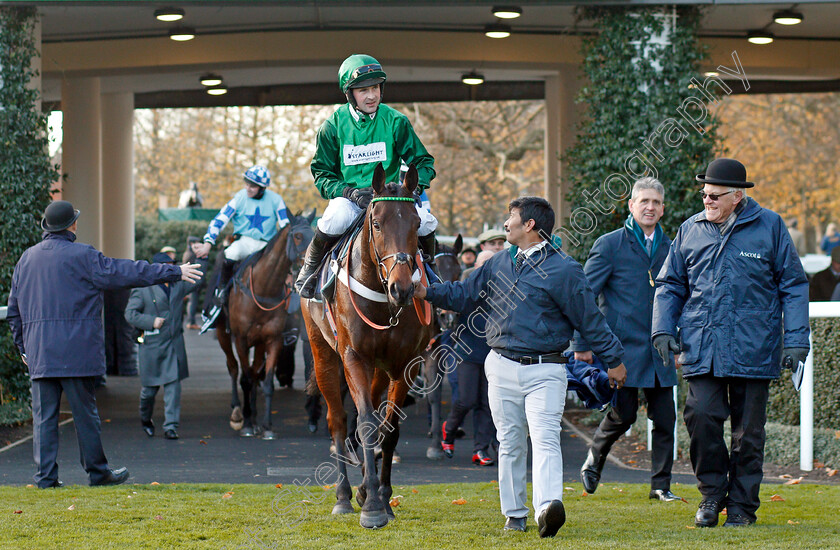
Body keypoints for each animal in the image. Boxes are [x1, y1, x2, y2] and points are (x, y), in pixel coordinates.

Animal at [217, 211, 316, 440]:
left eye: (314, 234)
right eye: (297, 236)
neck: (264, 290)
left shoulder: (273, 340)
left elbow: (267, 381)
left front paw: (266, 426)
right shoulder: (241, 340)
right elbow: (244, 379)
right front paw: (246, 424)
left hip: (259, 343)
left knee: (254, 373)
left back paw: (253, 416)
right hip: (223, 336)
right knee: (233, 368)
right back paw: (238, 412)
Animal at [302, 164, 434, 532]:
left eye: (416, 225)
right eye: (376, 223)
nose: (402, 288)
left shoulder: (406, 363)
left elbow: (387, 430)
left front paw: (382, 498)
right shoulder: (353, 357)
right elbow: (363, 423)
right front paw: (372, 504)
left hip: (379, 368)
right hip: (323, 355)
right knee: (337, 419)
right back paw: (344, 496)